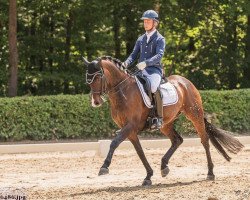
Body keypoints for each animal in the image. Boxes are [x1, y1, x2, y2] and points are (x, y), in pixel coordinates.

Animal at [83, 55, 243, 186]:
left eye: (98, 77)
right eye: (88, 79)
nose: (96, 102)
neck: (123, 91)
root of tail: (185, 82)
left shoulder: (130, 126)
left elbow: (114, 143)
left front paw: (104, 167)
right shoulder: (130, 130)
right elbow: (140, 152)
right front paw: (148, 176)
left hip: (194, 115)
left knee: (204, 140)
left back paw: (210, 173)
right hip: (166, 123)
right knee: (177, 140)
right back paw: (164, 167)